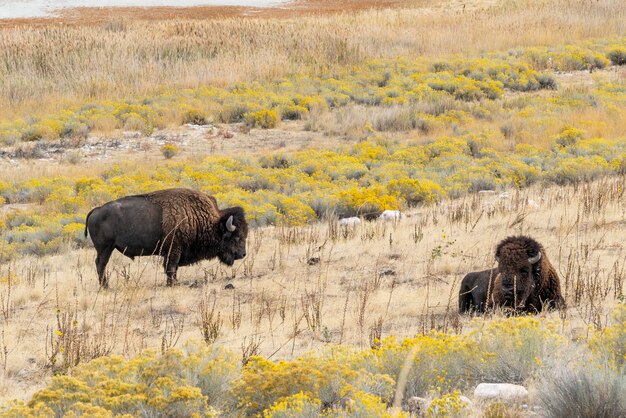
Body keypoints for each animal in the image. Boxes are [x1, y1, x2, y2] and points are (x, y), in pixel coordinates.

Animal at [83, 189, 249, 288]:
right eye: (236, 237)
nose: (242, 254)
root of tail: (95, 210)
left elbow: (172, 269)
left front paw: (174, 282)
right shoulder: (174, 250)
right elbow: (171, 267)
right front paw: (172, 284)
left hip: (106, 248)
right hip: (105, 248)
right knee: (101, 264)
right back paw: (105, 286)